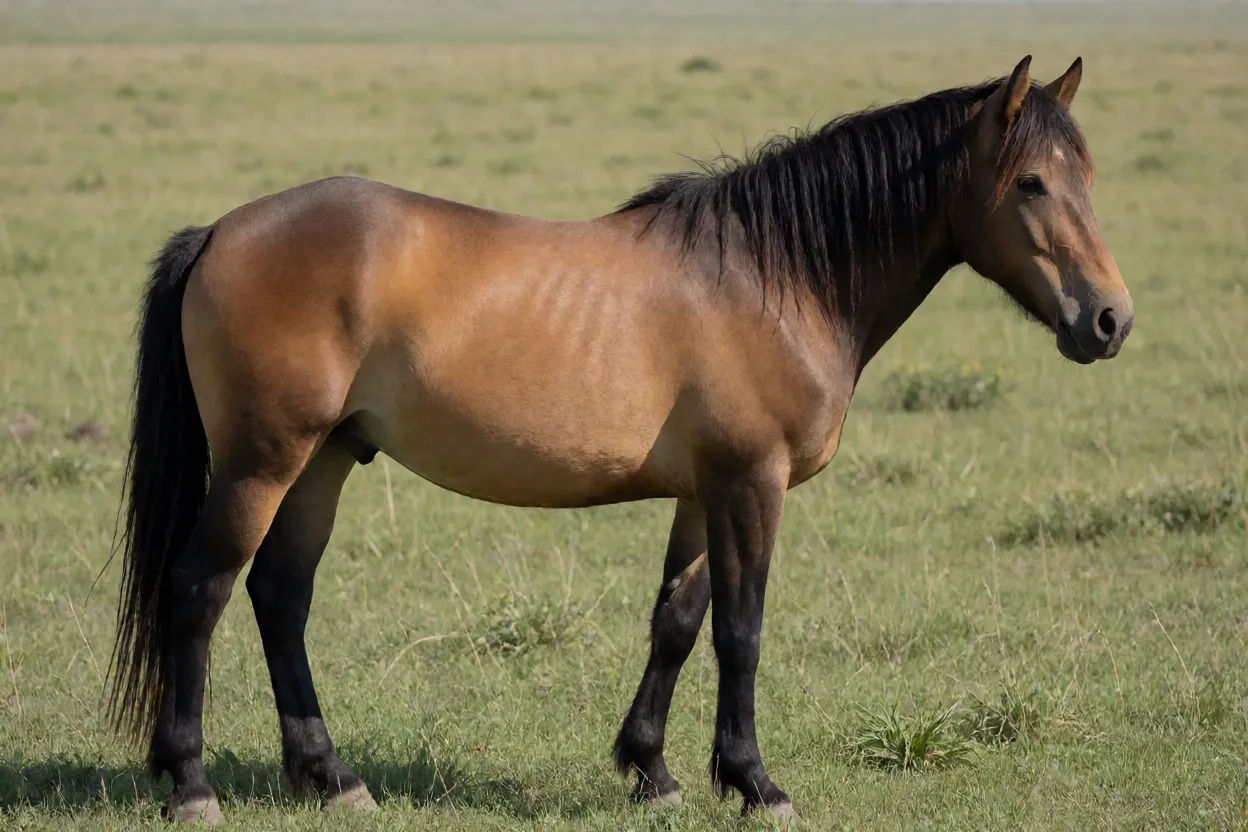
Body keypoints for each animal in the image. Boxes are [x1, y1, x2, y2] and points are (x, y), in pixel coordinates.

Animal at [106, 55, 1132, 825]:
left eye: (1089, 179)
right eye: (1031, 182)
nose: (1110, 321)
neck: (774, 277)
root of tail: (220, 232)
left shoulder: (704, 490)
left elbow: (677, 623)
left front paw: (654, 772)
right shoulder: (752, 483)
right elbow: (742, 629)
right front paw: (756, 784)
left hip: (323, 459)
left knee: (281, 595)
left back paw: (330, 777)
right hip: (263, 462)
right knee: (200, 590)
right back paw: (191, 784)